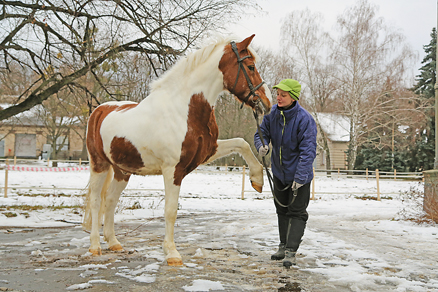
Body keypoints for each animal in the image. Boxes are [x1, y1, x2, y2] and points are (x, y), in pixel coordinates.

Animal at [83, 33, 270, 266]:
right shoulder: (173, 169)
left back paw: (114, 243)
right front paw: (172, 253)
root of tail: (99, 111)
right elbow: (171, 210)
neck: (184, 109)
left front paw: (257, 179)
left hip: (122, 170)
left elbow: (241, 143)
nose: (266, 103)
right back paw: (95, 246)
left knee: (110, 200)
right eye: (251, 66)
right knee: (95, 201)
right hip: (98, 165)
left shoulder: (208, 151)